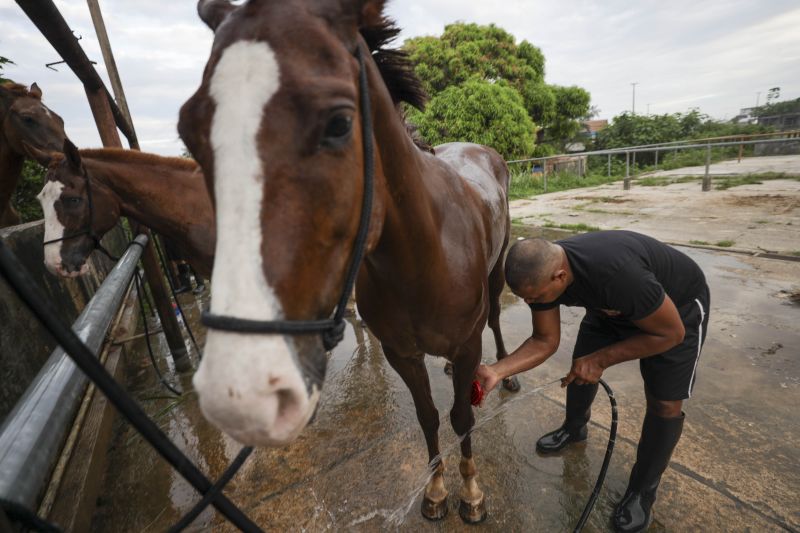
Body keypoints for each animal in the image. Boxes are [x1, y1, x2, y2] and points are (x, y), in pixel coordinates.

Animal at [177, 0, 512, 524]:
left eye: (339, 123)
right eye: (189, 133)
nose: (241, 393)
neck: (423, 259)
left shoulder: (464, 346)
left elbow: (462, 416)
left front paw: (472, 494)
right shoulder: (400, 353)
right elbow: (428, 417)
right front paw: (436, 490)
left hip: (496, 276)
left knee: (496, 316)